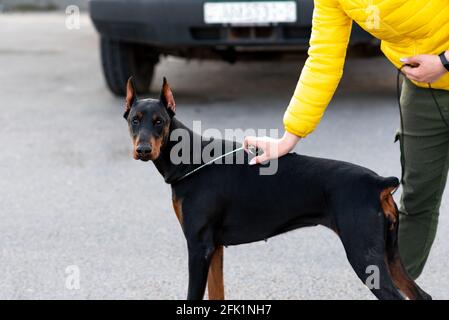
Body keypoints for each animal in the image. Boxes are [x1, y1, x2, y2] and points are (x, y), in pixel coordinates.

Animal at [123, 77, 430, 300]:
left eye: (159, 121)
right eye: (134, 120)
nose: (143, 150)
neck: (191, 159)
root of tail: (378, 182)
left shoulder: (199, 247)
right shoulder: (215, 247)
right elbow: (216, 294)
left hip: (363, 253)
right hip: (390, 253)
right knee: (420, 295)